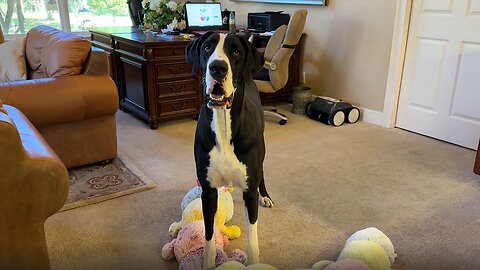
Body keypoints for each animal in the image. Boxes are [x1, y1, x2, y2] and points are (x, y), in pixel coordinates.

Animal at [186, 32, 274, 270]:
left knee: (262, 174)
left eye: (235, 52)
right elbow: (208, 235)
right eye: (207, 48)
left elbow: (252, 237)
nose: (217, 68)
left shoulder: (249, 191)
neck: (224, 124)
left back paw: (266, 196)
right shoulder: (208, 191)